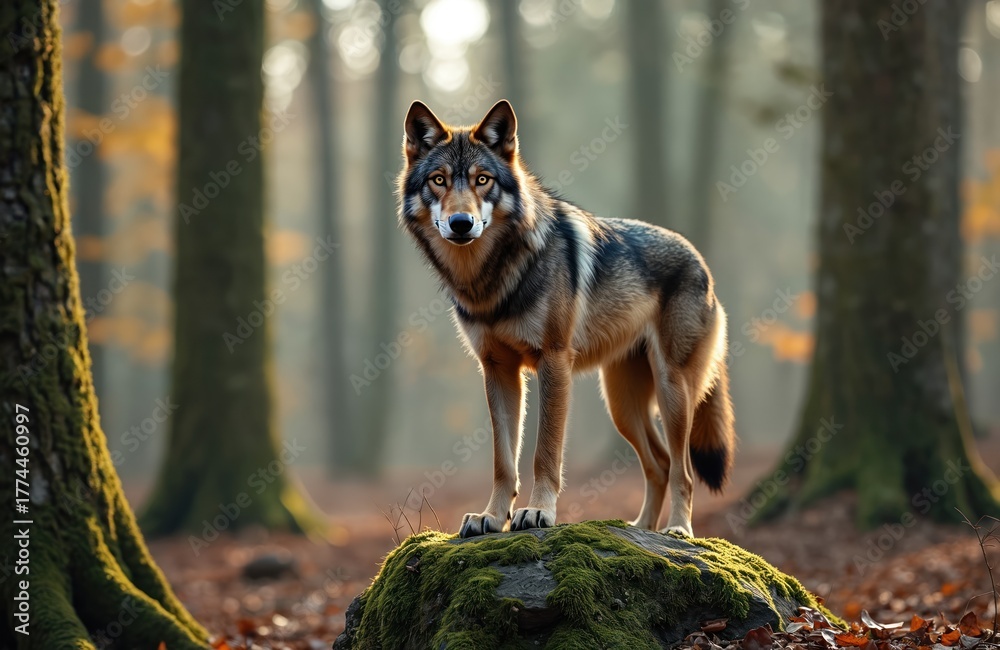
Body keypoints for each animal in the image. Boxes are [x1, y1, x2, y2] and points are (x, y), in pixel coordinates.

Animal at [397, 99, 735, 538]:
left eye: (482, 180)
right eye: (438, 180)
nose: (461, 223)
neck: (493, 277)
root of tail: (701, 261)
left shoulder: (553, 361)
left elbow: (545, 453)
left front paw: (538, 512)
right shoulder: (497, 369)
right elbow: (502, 461)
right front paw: (491, 517)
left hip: (671, 390)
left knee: (684, 470)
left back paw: (677, 530)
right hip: (622, 407)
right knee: (659, 464)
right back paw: (639, 527)